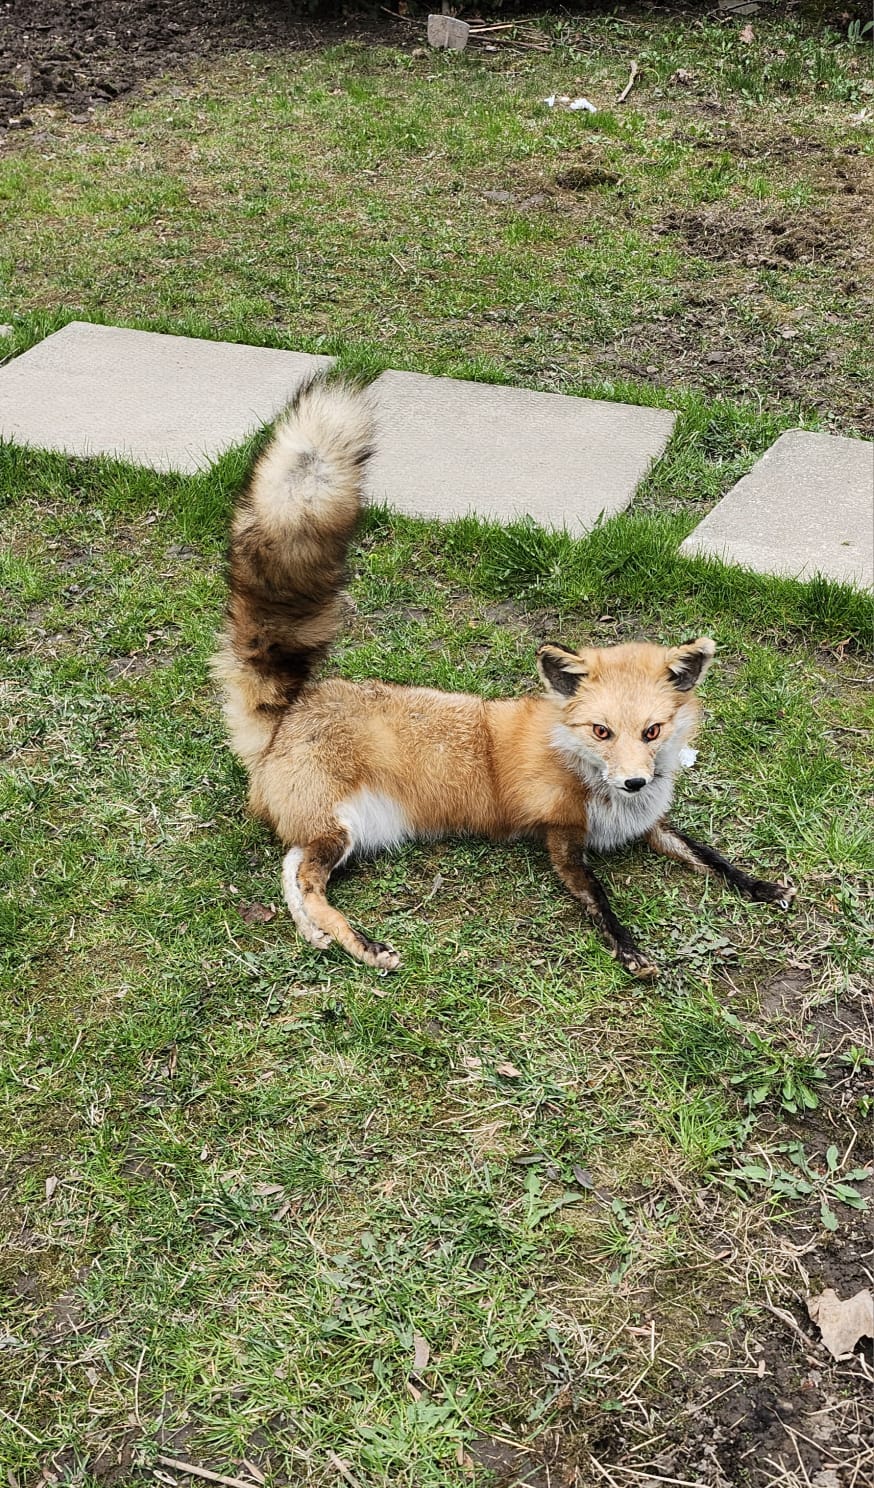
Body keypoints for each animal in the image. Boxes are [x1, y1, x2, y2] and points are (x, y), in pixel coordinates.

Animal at [213, 377, 796, 978]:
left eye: (652, 731)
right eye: (602, 731)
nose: (634, 781)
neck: (589, 776)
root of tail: (292, 710)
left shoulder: (648, 825)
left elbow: (710, 855)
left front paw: (760, 885)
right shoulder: (561, 838)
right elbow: (598, 898)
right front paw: (628, 948)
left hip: (345, 834)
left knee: (292, 869)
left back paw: (314, 932)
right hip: (338, 828)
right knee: (306, 878)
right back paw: (363, 945)